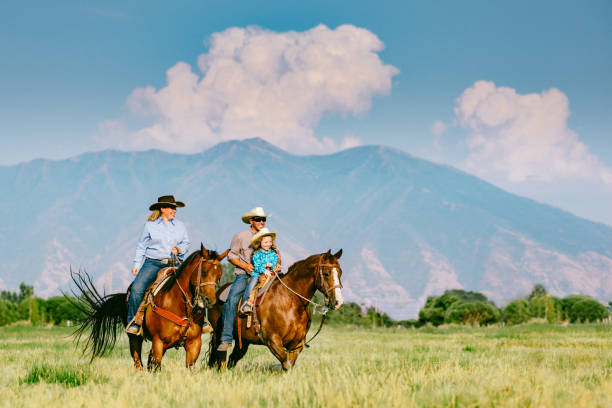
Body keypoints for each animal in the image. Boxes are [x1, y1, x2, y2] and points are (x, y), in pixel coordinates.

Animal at [71, 244, 228, 372]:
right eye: (204, 272)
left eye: (219, 275)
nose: (210, 300)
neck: (179, 305)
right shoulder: (158, 342)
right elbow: (157, 367)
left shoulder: (194, 344)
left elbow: (188, 367)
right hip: (134, 338)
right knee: (138, 362)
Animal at [208, 249, 344, 370]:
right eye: (326, 273)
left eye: (340, 272)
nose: (339, 302)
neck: (290, 302)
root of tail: (218, 292)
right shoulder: (273, 340)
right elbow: (285, 363)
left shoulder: (297, 345)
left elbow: (289, 366)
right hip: (218, 335)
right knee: (220, 358)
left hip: (243, 341)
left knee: (232, 359)